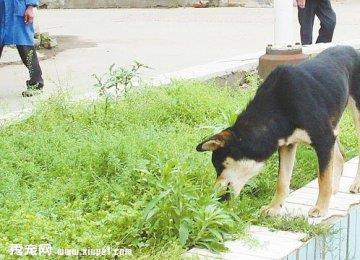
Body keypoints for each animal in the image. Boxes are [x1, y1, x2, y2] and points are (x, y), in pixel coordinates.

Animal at [198, 46, 360, 217]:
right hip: (333, 124)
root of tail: (352, 48)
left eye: (219, 166)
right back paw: (334, 188)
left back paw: (354, 184)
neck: (278, 108)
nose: (213, 196)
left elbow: (323, 178)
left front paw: (321, 208)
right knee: (340, 156)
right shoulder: (288, 144)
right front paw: (274, 207)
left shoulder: (323, 139)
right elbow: (282, 180)